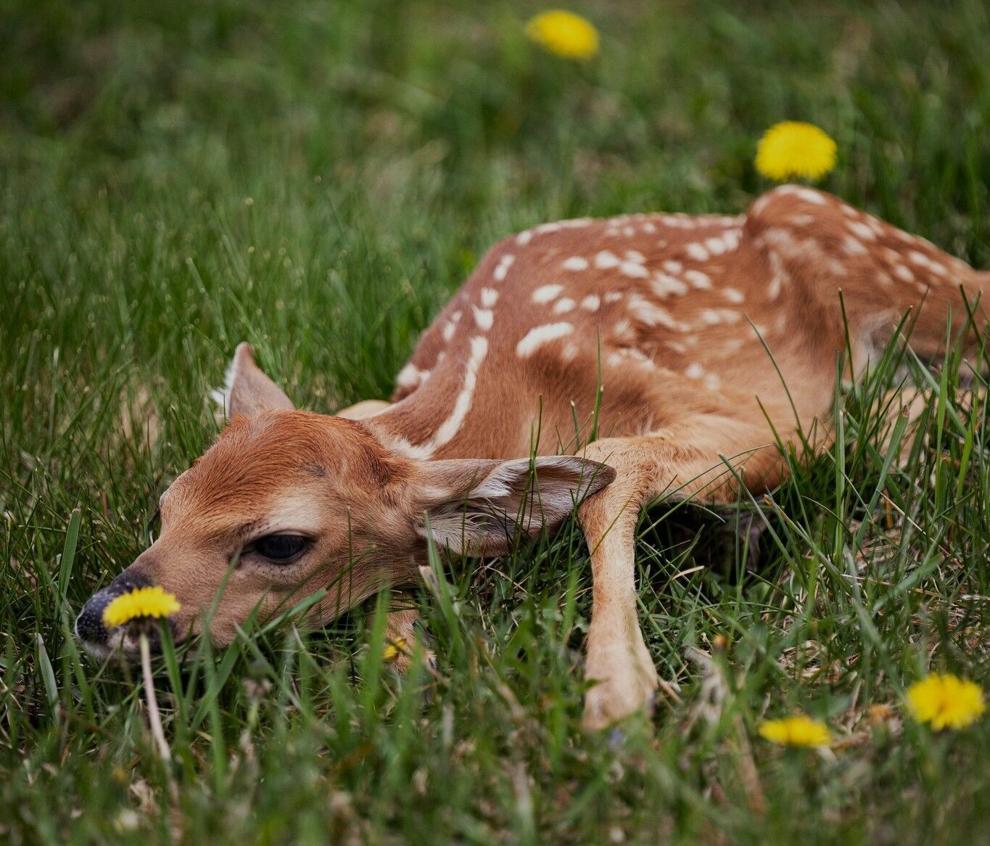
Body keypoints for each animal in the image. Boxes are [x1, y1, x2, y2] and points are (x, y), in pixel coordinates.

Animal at [76, 185, 990, 729]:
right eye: (163, 506)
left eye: (279, 543)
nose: (97, 618)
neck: (495, 397)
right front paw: (416, 660)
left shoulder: (776, 421)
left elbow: (606, 464)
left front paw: (617, 691)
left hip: (866, 248)